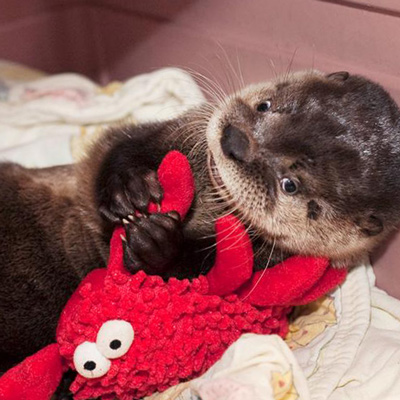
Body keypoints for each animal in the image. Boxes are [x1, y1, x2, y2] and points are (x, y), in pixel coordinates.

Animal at [0, 69, 400, 372]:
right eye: (266, 105)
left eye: (290, 184)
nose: (234, 140)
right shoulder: (175, 128)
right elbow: (116, 144)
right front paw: (128, 186)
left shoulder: (265, 267)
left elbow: (198, 284)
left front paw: (157, 245)